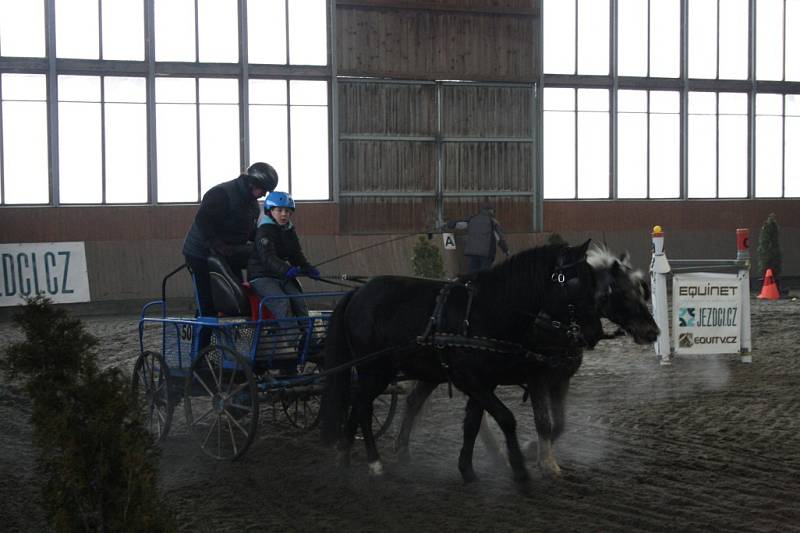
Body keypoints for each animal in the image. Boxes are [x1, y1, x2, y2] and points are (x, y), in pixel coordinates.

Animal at [318, 241, 600, 482]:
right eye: (575, 281)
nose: (595, 332)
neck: (486, 310)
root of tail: (358, 292)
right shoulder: (471, 379)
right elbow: (506, 417)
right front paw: (518, 467)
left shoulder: (485, 382)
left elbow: (472, 424)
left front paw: (468, 470)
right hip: (374, 370)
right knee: (362, 406)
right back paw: (374, 463)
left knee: (362, 405)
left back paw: (345, 456)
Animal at [390, 245, 660, 478]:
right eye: (623, 293)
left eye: (641, 290)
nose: (652, 333)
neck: (554, 322)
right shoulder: (536, 376)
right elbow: (543, 421)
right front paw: (546, 463)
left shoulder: (561, 378)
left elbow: (559, 423)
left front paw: (531, 450)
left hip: (439, 370)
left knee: (418, 401)